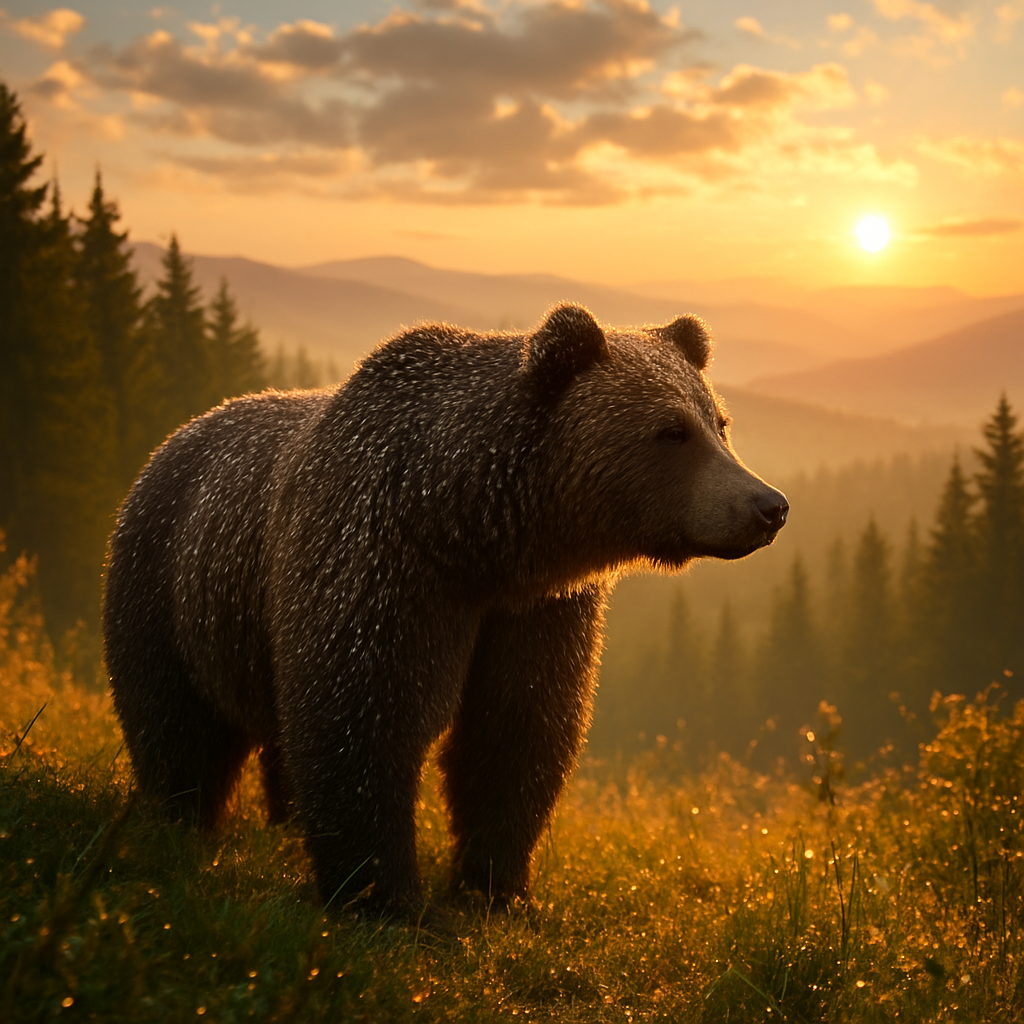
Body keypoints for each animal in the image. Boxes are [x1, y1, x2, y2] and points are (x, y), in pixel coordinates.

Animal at [102, 302, 787, 915]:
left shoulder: (535, 609)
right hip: (169, 583)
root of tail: (177, 437)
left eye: (719, 422)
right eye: (672, 432)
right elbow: (366, 714)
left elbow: (519, 726)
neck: (471, 529)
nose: (768, 505)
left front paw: (498, 889)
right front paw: (386, 899)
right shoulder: (382, 557)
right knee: (176, 725)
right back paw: (179, 825)